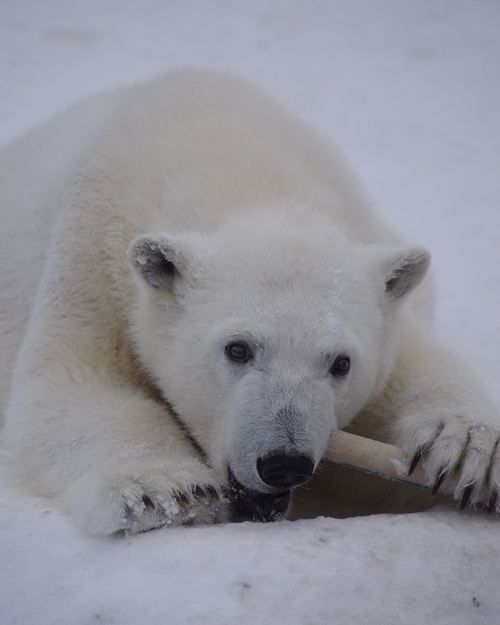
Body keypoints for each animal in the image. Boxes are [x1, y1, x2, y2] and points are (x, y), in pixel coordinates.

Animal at [0, 70, 498, 532]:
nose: (284, 463)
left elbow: (410, 379)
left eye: (341, 363)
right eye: (237, 349)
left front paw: (467, 448)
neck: (241, 172)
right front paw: (168, 491)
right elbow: (68, 385)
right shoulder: (91, 254)